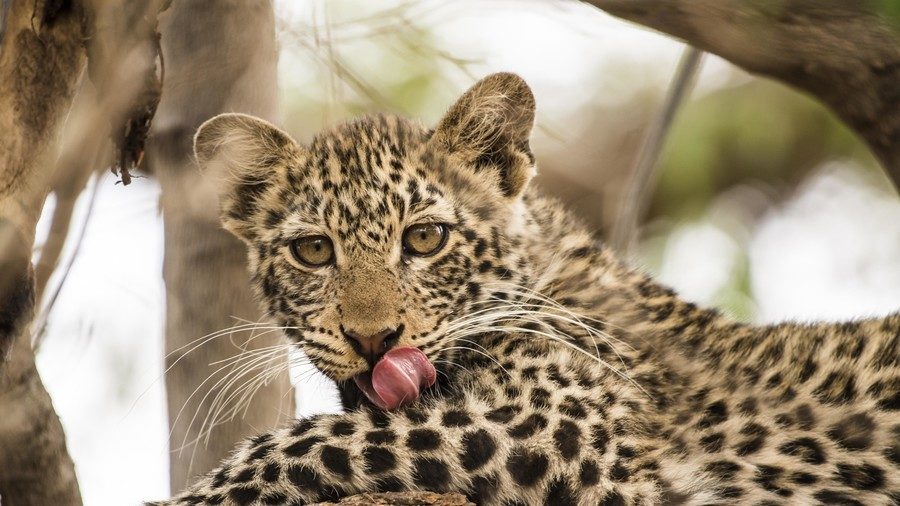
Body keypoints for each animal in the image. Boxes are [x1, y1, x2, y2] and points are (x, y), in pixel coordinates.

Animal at [153, 72, 900, 505]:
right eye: (313, 251)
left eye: (425, 239)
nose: (373, 340)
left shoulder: (569, 428)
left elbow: (315, 441)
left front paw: (189, 499)